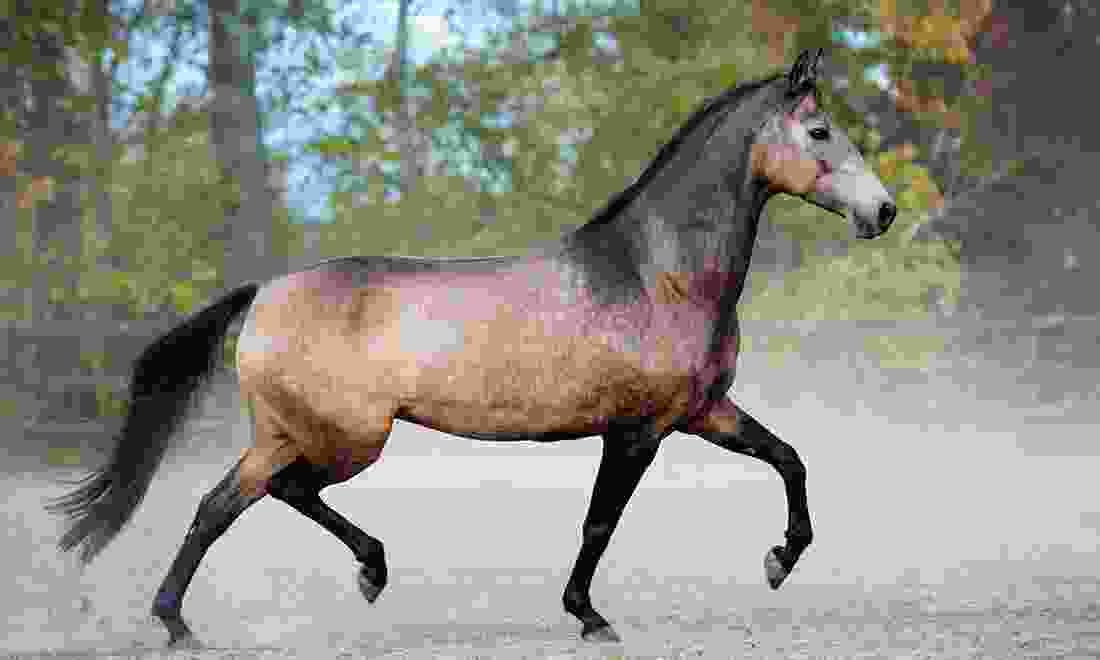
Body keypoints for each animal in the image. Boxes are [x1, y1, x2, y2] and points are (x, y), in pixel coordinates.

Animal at [47, 49, 896, 647]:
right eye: (820, 132)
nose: (882, 211)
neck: (657, 274)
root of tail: (262, 294)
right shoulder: (636, 431)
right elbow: (598, 525)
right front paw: (588, 616)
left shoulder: (702, 412)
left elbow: (789, 459)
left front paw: (781, 559)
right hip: (347, 437)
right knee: (252, 498)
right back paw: (238, 605)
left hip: (300, 433)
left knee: (239, 500)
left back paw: (252, 600)